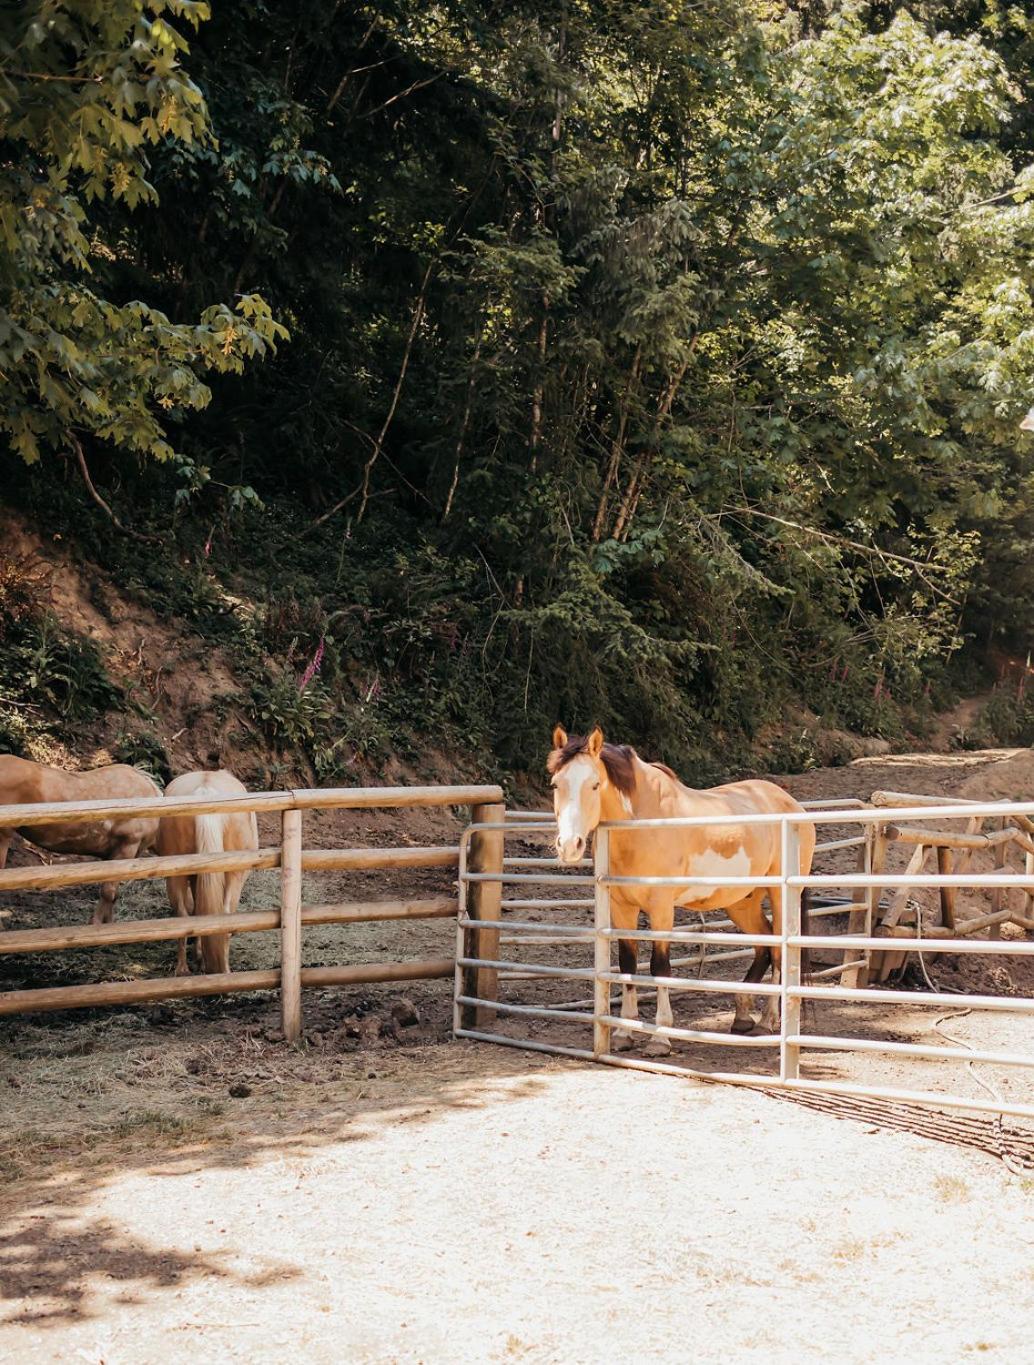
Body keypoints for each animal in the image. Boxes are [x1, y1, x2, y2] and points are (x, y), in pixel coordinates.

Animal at [158, 775, 263, 977]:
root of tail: (205, 791)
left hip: (175, 874)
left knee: (183, 916)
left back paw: (183, 969)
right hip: (234, 874)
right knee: (225, 915)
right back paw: (224, 969)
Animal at [551, 726, 818, 1053]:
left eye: (594, 784)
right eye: (555, 784)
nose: (568, 846)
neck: (643, 822)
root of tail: (793, 806)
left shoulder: (661, 908)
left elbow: (660, 967)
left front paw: (660, 1038)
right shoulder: (622, 907)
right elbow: (628, 964)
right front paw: (624, 1034)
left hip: (782, 896)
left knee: (780, 952)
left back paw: (766, 1022)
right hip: (741, 902)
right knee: (764, 945)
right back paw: (742, 1018)